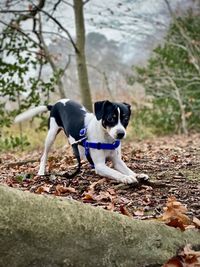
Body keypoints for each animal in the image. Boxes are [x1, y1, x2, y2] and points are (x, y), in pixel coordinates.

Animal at [14, 99, 149, 184]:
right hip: (51, 135)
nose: (121, 134)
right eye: (111, 118)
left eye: (126, 119)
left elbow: (127, 169)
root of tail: (56, 104)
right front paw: (127, 178)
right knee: (44, 156)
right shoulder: (100, 166)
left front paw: (136, 175)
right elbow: (116, 173)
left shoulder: (117, 161)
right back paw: (41, 172)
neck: (106, 137)